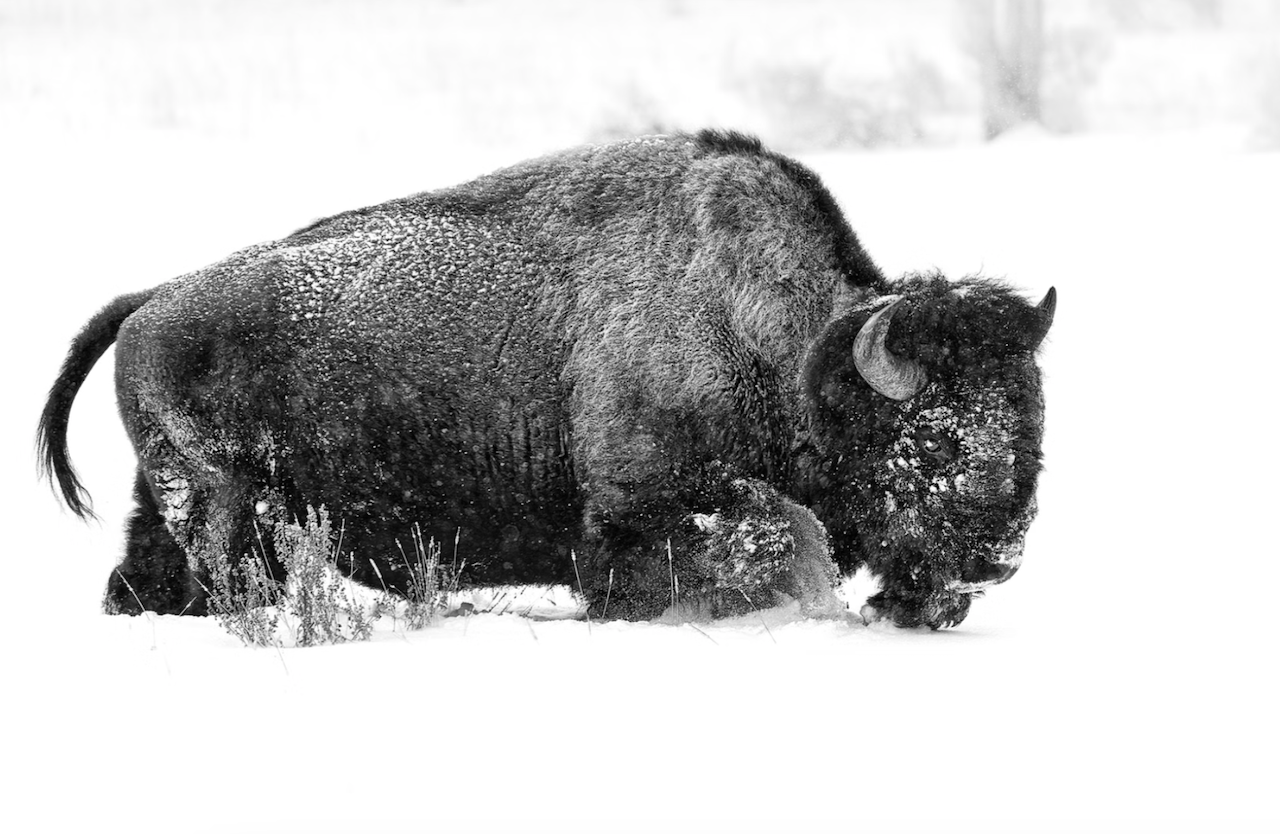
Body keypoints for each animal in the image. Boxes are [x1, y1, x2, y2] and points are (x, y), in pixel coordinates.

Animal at [38, 130, 1054, 629]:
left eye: (1031, 421)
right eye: (930, 439)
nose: (1000, 556)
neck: (780, 345)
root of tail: (150, 303)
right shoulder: (641, 511)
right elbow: (771, 540)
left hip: (171, 504)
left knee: (141, 580)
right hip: (226, 509)